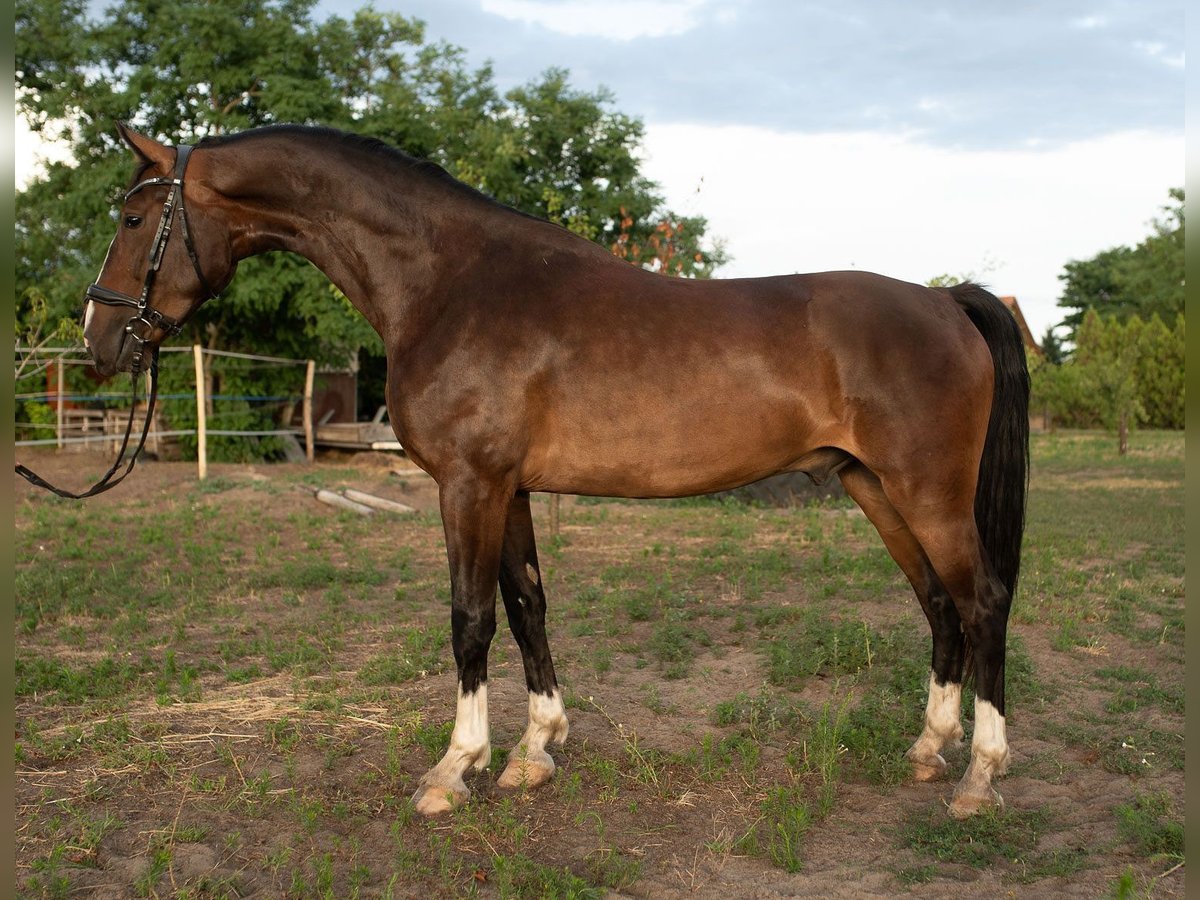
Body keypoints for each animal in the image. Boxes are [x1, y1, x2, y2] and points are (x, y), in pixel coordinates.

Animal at [75, 123, 1028, 819]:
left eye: (133, 220)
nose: (98, 338)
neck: (450, 283)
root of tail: (946, 300)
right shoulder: (511, 489)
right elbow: (527, 607)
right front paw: (535, 752)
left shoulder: (468, 485)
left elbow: (469, 620)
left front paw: (453, 769)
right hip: (875, 489)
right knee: (938, 605)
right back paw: (928, 751)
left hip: (927, 492)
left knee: (981, 602)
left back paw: (980, 776)